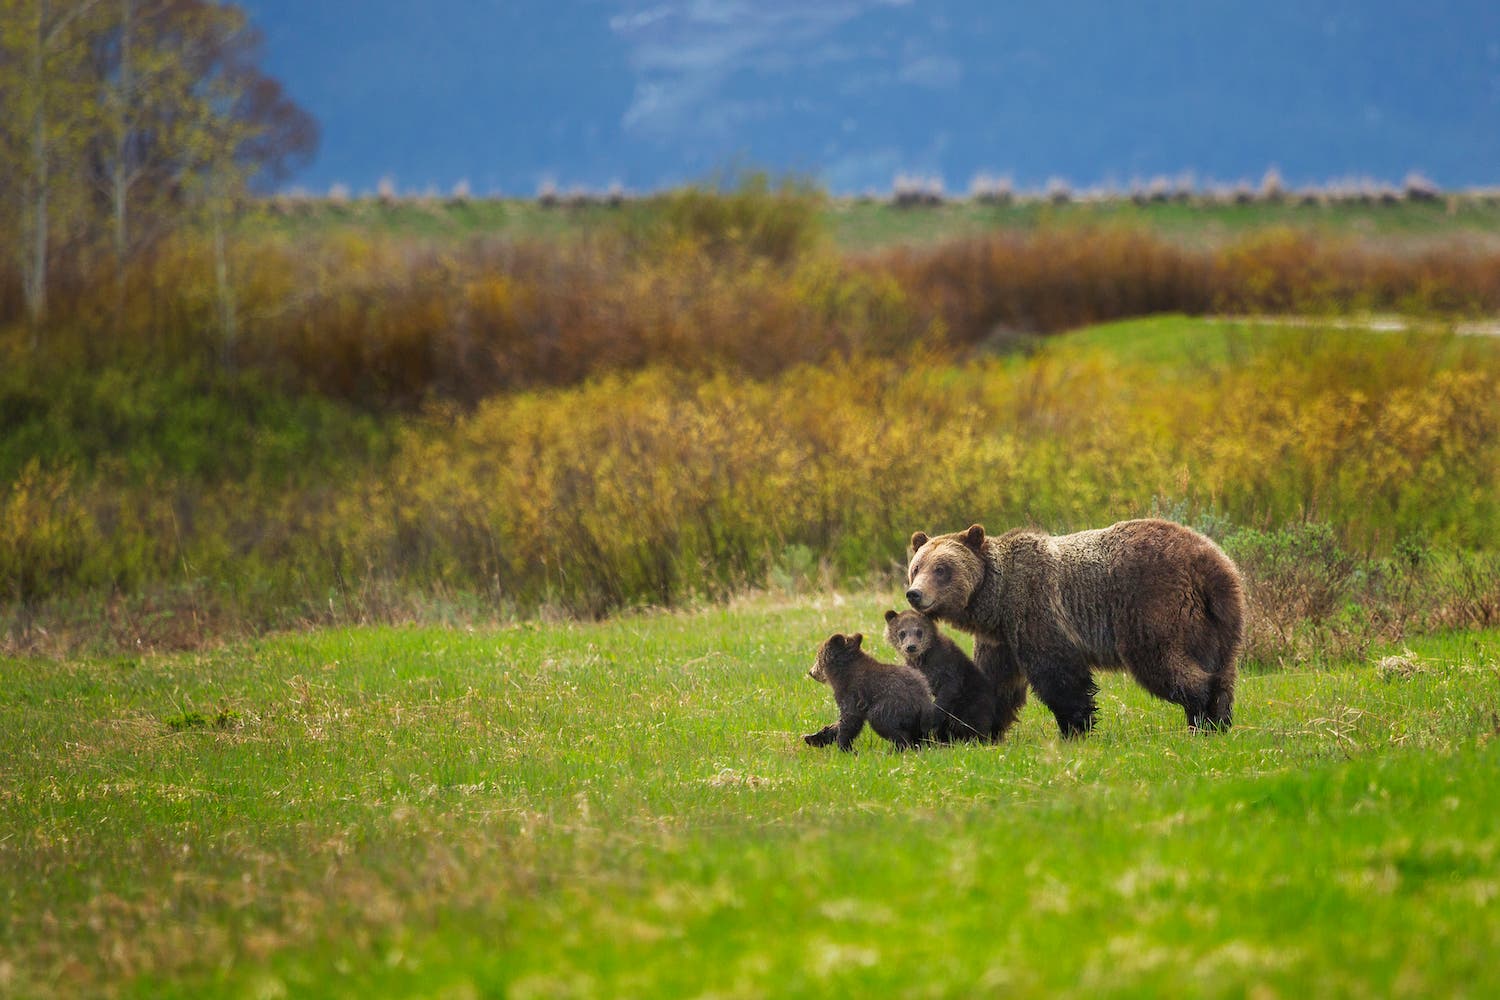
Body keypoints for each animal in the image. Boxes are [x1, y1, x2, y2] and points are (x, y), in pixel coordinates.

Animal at [802, 632, 938, 751]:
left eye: (818, 657)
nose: (811, 672)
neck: (841, 673)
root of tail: (923, 704)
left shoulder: (852, 692)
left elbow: (850, 720)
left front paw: (845, 747)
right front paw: (813, 737)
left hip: (892, 705)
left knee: (882, 721)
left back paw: (896, 749)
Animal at [883, 609, 997, 742]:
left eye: (919, 631)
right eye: (902, 632)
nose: (911, 647)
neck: (923, 659)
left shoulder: (948, 668)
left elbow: (948, 691)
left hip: (973, 700)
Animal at [905, 518, 1245, 739]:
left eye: (942, 569)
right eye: (916, 567)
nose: (914, 594)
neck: (996, 601)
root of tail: (1207, 561)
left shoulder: (1036, 609)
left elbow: (1058, 675)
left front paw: (1075, 727)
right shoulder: (1002, 639)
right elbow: (992, 680)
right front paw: (968, 730)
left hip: (1153, 604)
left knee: (1162, 661)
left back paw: (1203, 715)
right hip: (1220, 619)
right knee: (1223, 667)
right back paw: (1220, 717)